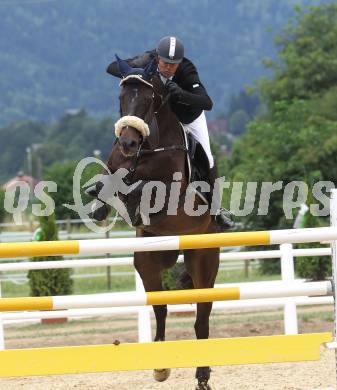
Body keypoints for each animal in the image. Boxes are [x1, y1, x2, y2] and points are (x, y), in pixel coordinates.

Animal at [90, 58, 219, 390]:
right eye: (121, 99)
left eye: (150, 100)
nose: (128, 142)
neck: (147, 149)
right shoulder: (118, 165)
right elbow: (110, 180)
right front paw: (101, 203)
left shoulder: (171, 196)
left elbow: (144, 190)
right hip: (148, 261)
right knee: (160, 307)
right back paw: (160, 366)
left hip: (204, 258)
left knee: (202, 317)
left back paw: (202, 375)